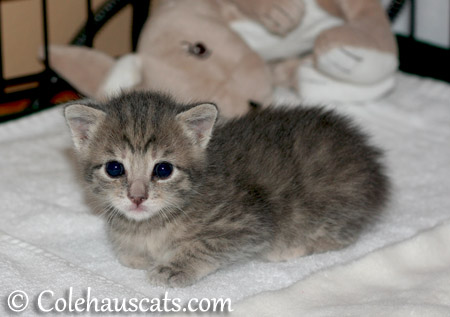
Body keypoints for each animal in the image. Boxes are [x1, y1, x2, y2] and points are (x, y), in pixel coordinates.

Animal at [64, 90, 390, 286]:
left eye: (163, 170)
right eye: (114, 168)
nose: (137, 197)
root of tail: (371, 160)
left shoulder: (248, 222)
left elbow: (206, 245)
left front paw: (175, 267)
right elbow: (124, 251)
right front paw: (133, 250)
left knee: (342, 233)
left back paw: (290, 248)